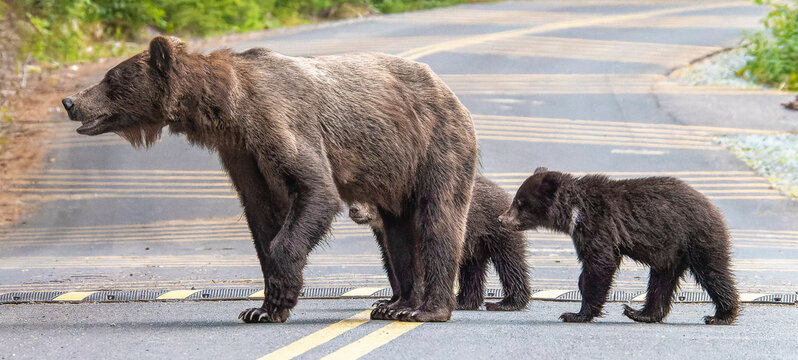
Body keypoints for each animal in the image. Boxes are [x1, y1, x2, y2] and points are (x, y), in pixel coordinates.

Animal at [62, 36, 478, 324]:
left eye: (110, 78)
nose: (70, 102)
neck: (227, 108)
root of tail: (448, 91)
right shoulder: (242, 152)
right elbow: (261, 214)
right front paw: (262, 309)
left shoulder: (278, 121)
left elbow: (314, 192)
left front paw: (277, 293)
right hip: (394, 174)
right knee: (398, 232)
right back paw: (398, 304)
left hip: (435, 146)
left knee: (438, 219)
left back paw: (427, 309)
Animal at [350, 176, 532, 310]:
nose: (354, 209)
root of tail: (503, 192)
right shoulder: (384, 238)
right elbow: (392, 263)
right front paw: (386, 301)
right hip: (474, 243)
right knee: (472, 269)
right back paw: (464, 302)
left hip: (494, 229)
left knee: (510, 262)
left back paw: (508, 302)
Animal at [504, 167, 740, 324]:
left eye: (519, 203)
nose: (501, 218)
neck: (575, 212)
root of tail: (714, 208)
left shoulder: (599, 226)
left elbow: (599, 265)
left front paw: (575, 314)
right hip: (671, 254)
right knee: (661, 282)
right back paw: (640, 313)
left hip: (697, 238)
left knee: (713, 273)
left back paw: (721, 315)